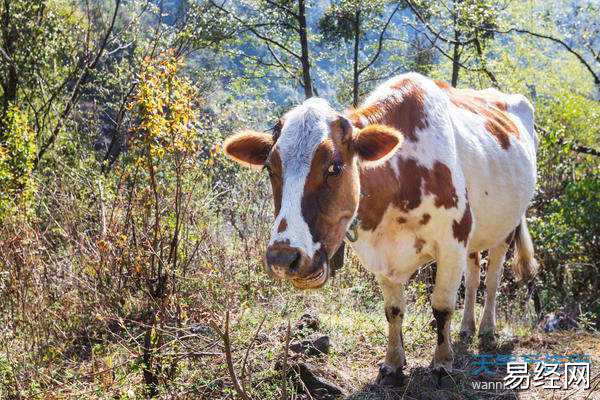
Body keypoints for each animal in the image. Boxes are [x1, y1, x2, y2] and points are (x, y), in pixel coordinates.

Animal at [221, 72, 540, 384]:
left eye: (335, 167)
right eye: (270, 168)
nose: (283, 258)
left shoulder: (453, 241)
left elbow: (441, 306)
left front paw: (442, 362)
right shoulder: (379, 255)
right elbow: (393, 311)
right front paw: (393, 363)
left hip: (507, 227)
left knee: (492, 279)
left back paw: (486, 330)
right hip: (478, 232)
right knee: (474, 275)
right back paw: (467, 328)